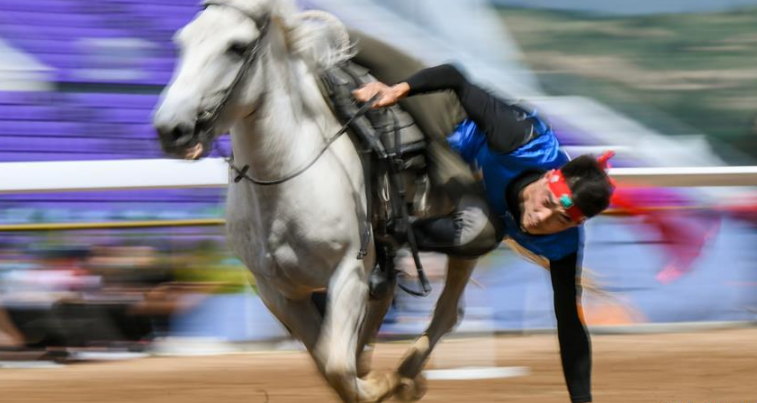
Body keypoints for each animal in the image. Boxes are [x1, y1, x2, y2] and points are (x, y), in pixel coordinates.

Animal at [152, 0, 477, 401]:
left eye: (237, 48)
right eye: (182, 42)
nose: (171, 130)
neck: (286, 180)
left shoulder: (348, 273)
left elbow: (337, 366)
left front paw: (382, 383)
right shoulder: (276, 292)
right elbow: (327, 360)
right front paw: (371, 377)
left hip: (469, 232)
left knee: (447, 311)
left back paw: (405, 377)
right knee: (385, 302)